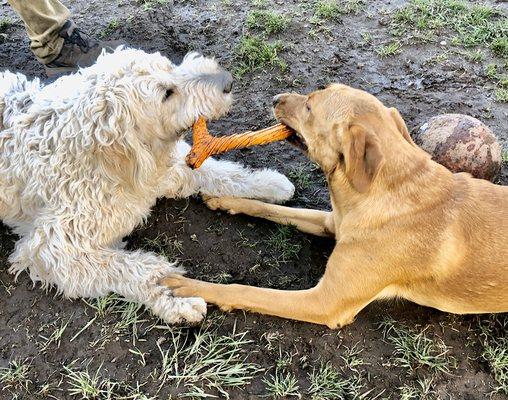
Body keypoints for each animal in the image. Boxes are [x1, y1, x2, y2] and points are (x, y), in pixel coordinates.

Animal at [0, 47, 294, 322]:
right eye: (166, 94)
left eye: (171, 65)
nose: (228, 80)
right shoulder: (53, 249)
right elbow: (132, 268)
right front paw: (174, 296)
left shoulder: (160, 172)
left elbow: (218, 173)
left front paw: (268, 183)